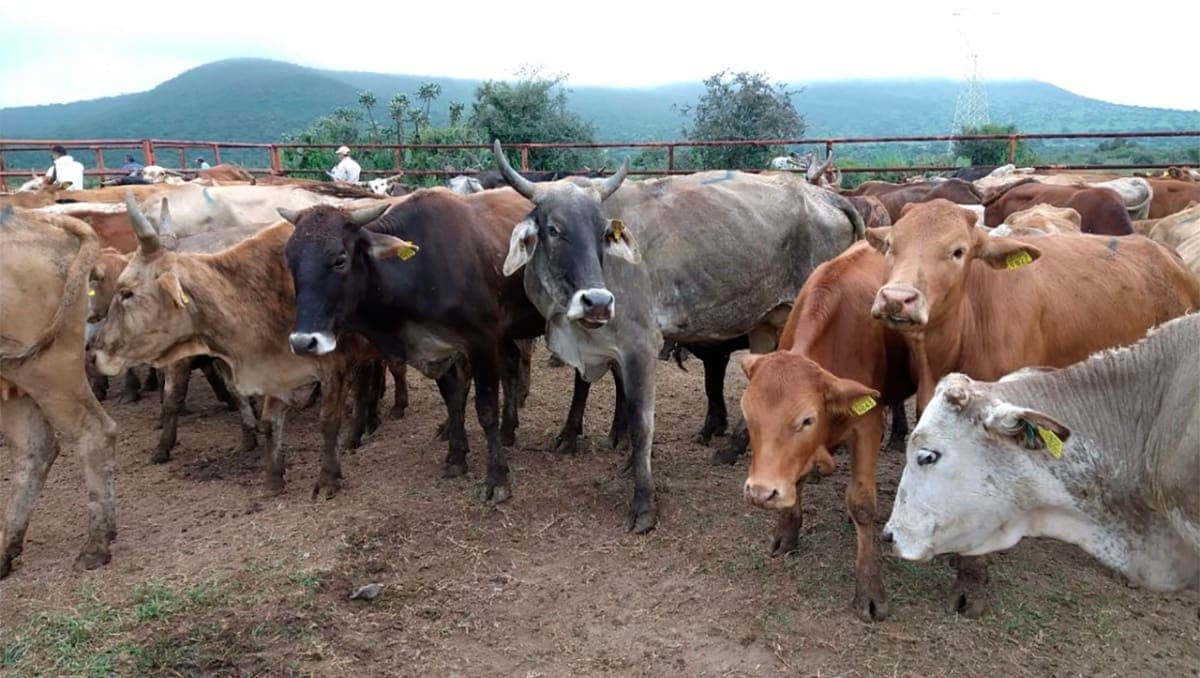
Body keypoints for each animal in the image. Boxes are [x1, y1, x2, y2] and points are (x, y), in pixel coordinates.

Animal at [91, 194, 379, 495]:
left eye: (126, 292)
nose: (96, 352)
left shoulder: (334, 365)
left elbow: (328, 421)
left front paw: (327, 479)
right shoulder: (275, 368)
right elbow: (270, 421)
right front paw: (273, 478)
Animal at [281, 186, 542, 510]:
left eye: (340, 259)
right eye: (290, 261)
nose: (303, 342)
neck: (421, 268)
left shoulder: (481, 342)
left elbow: (485, 409)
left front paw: (497, 479)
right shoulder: (440, 349)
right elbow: (453, 399)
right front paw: (456, 457)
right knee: (511, 366)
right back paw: (509, 430)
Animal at [492, 142, 662, 532]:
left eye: (603, 233)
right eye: (554, 229)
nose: (598, 301)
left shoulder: (641, 349)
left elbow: (642, 424)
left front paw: (644, 502)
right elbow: (580, 383)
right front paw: (570, 435)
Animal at [739, 241, 914, 621]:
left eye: (806, 420)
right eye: (747, 415)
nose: (761, 493)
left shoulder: (867, 423)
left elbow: (862, 503)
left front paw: (869, 590)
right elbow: (798, 478)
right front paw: (786, 532)